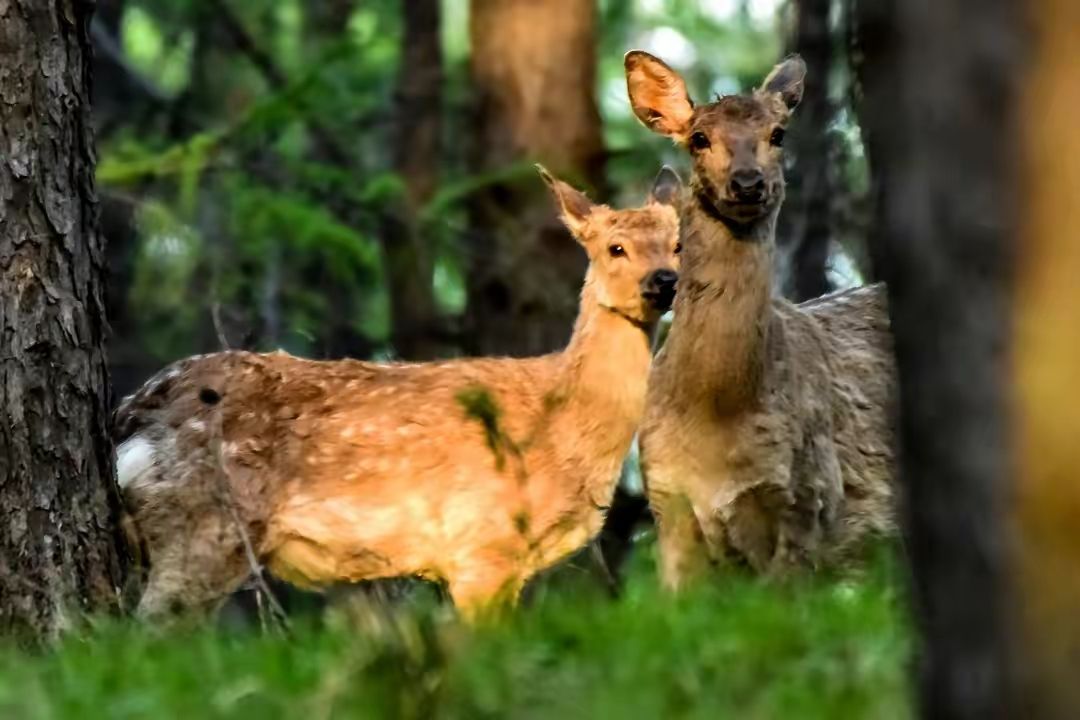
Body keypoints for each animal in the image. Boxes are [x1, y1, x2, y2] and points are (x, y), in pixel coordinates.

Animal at [114, 165, 683, 620]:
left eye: (679, 243)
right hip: (203, 522)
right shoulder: (482, 544)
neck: (564, 423)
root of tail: (134, 410)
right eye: (614, 247)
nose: (664, 280)